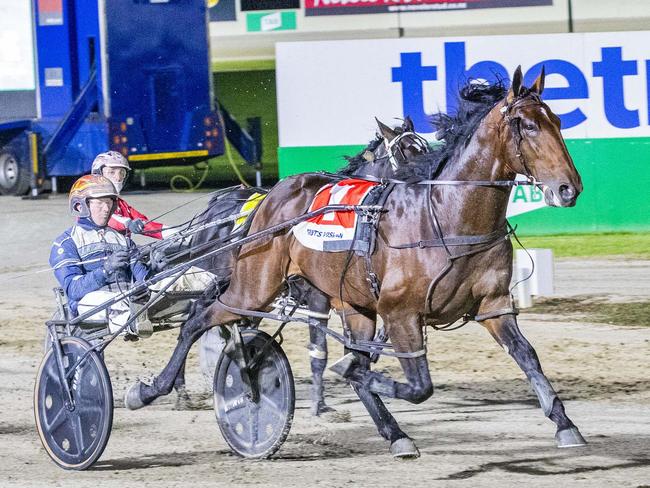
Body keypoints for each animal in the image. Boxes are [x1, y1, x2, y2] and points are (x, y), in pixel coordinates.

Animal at [125, 67, 584, 458]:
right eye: (527, 125)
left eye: (558, 121)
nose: (569, 188)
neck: (445, 216)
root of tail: (269, 195)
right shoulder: (399, 313)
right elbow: (414, 385)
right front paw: (345, 378)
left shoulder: (493, 305)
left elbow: (527, 357)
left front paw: (565, 424)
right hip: (254, 287)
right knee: (198, 317)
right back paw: (155, 388)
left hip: (347, 301)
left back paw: (393, 433)